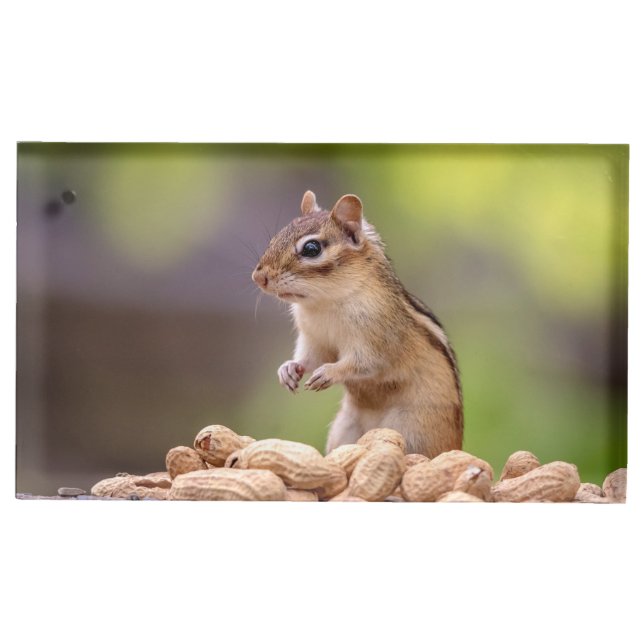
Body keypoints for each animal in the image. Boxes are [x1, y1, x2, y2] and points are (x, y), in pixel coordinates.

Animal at [251, 190, 463, 458]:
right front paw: (288, 369)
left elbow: (365, 363)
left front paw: (329, 373)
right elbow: (311, 358)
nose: (258, 277)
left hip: (413, 431)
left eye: (311, 248)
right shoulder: (314, 339)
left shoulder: (378, 339)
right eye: (275, 238)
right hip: (344, 429)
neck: (325, 303)